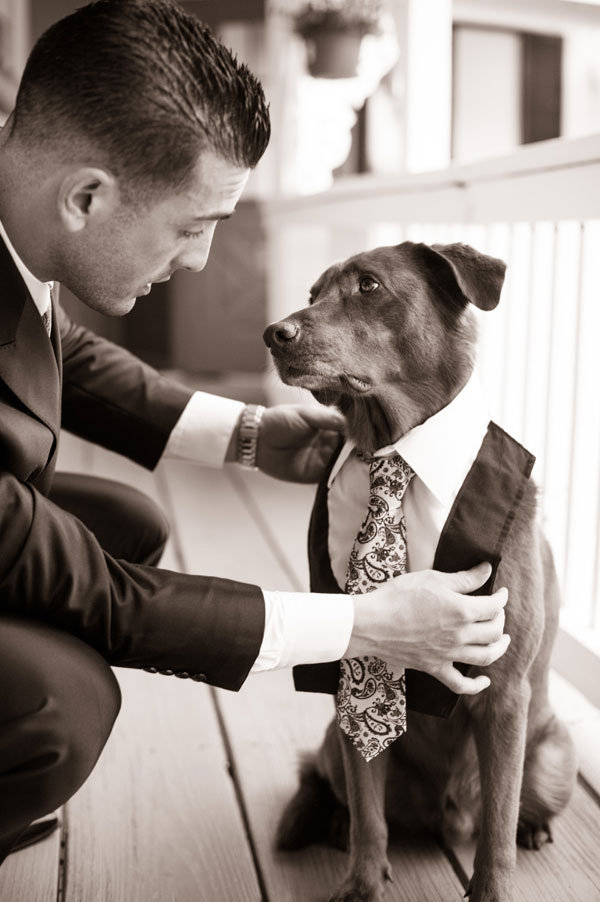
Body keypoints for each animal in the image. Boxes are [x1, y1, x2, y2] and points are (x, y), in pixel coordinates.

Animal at [264, 244, 576, 902]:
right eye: (313, 292)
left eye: (369, 285)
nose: (274, 333)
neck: (394, 447)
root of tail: (444, 818)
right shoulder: (351, 680)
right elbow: (369, 812)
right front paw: (361, 883)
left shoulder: (504, 691)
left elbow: (498, 824)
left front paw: (494, 887)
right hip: (333, 740)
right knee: (328, 780)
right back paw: (321, 820)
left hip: (555, 757)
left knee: (515, 805)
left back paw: (533, 828)